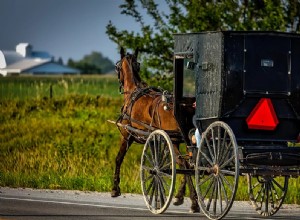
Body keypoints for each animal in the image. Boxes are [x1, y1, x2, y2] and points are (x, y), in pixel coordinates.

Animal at [110, 46, 199, 213]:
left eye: (117, 67)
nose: (118, 80)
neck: (133, 92)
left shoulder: (126, 136)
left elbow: (118, 159)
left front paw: (115, 188)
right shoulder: (154, 139)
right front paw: (162, 197)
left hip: (174, 141)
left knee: (184, 164)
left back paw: (194, 201)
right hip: (185, 140)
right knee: (190, 164)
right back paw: (181, 197)